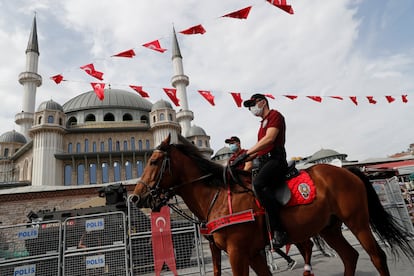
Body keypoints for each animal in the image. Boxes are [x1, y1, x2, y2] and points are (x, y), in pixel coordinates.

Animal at [132, 135, 414, 274]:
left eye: (154, 161)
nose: (135, 197)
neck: (217, 197)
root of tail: (347, 171)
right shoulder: (251, 253)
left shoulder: (237, 253)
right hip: (329, 227)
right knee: (350, 256)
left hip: (357, 221)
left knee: (376, 256)